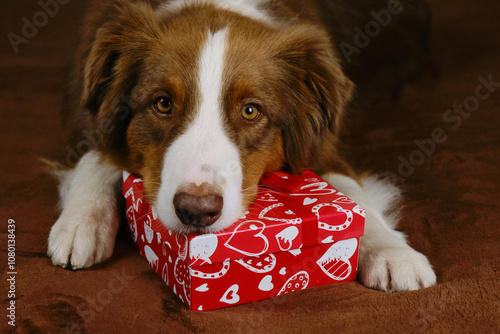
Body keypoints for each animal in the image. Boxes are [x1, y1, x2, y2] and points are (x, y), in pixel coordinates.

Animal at [47, 0, 438, 292]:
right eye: (162, 104)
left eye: (251, 111)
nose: (196, 211)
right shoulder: (87, 124)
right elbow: (95, 159)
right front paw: (82, 221)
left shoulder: (323, 148)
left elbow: (355, 195)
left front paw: (393, 252)